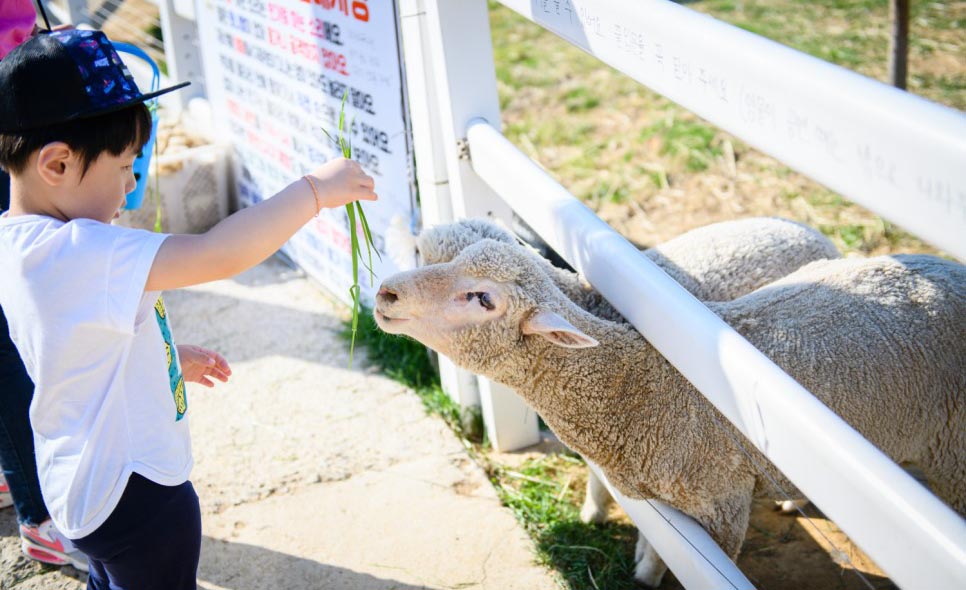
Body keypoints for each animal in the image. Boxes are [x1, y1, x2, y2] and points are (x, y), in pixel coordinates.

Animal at [376, 243, 966, 588]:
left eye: (482, 298)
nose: (386, 292)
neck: (644, 389)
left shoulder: (722, 510)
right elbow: (655, 549)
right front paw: (641, 571)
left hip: (954, 453)